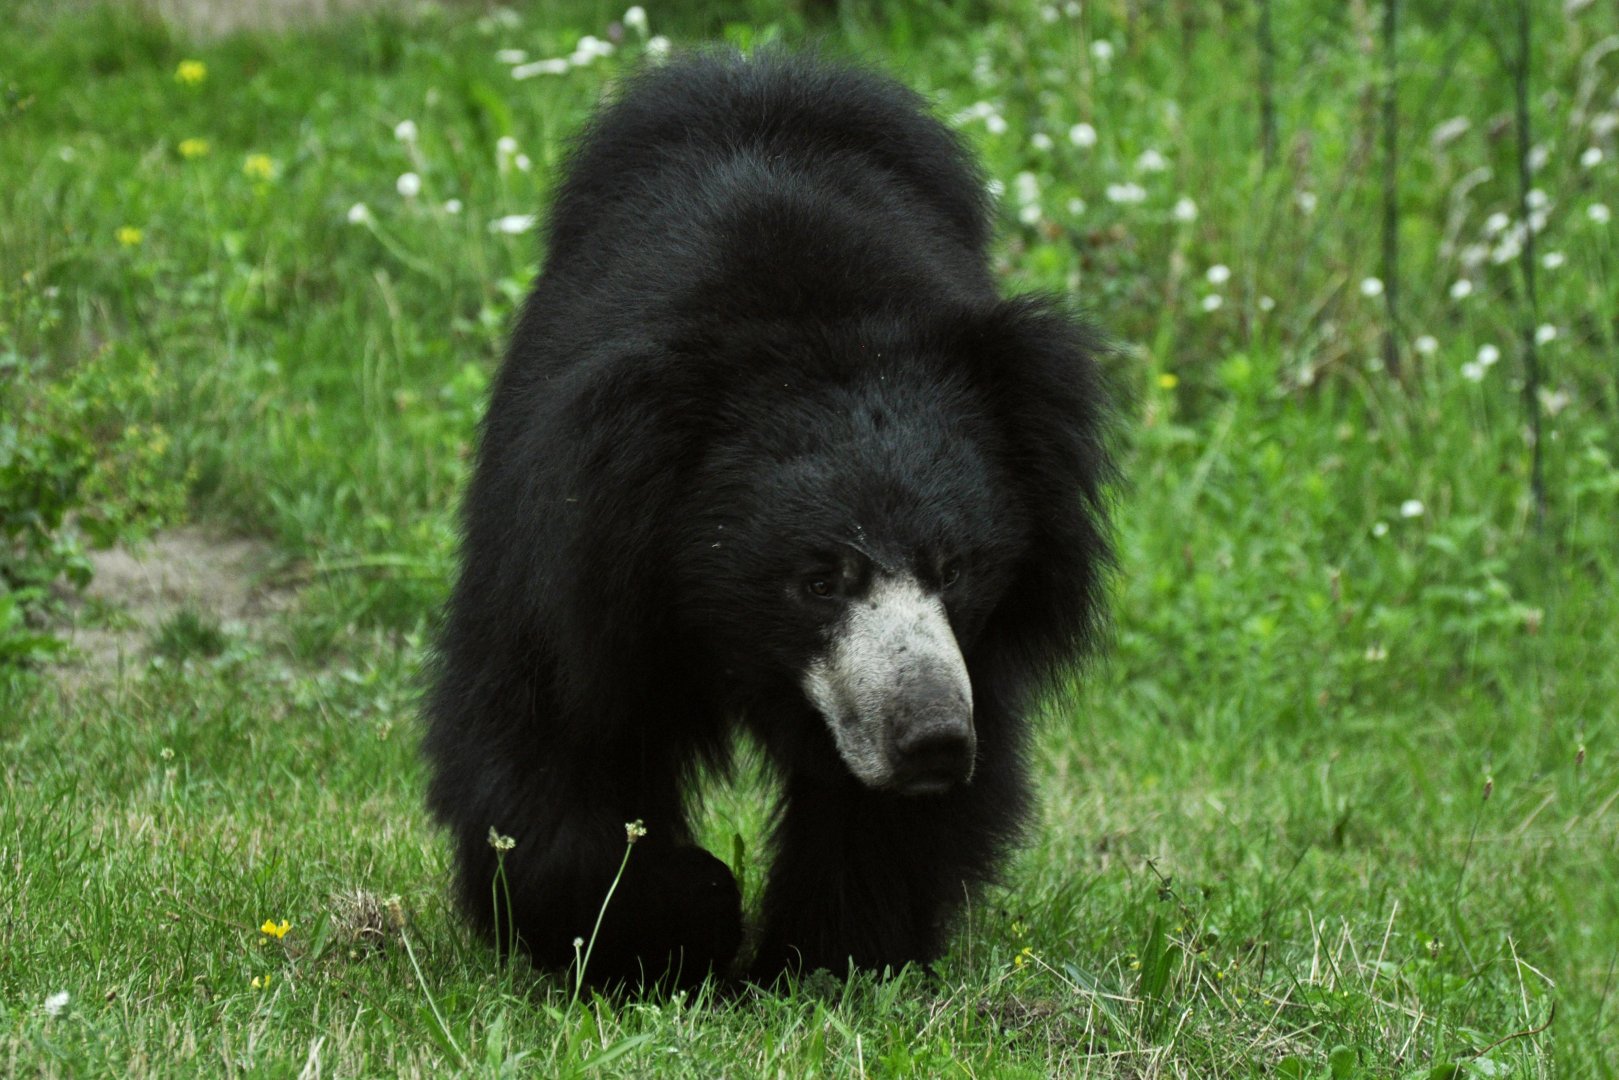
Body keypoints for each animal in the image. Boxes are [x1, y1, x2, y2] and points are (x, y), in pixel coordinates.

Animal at [423, 48, 1113, 989]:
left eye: (956, 569)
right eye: (817, 581)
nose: (931, 741)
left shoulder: (979, 644)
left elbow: (883, 823)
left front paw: (820, 959)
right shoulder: (571, 546)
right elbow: (548, 742)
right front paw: (680, 923)